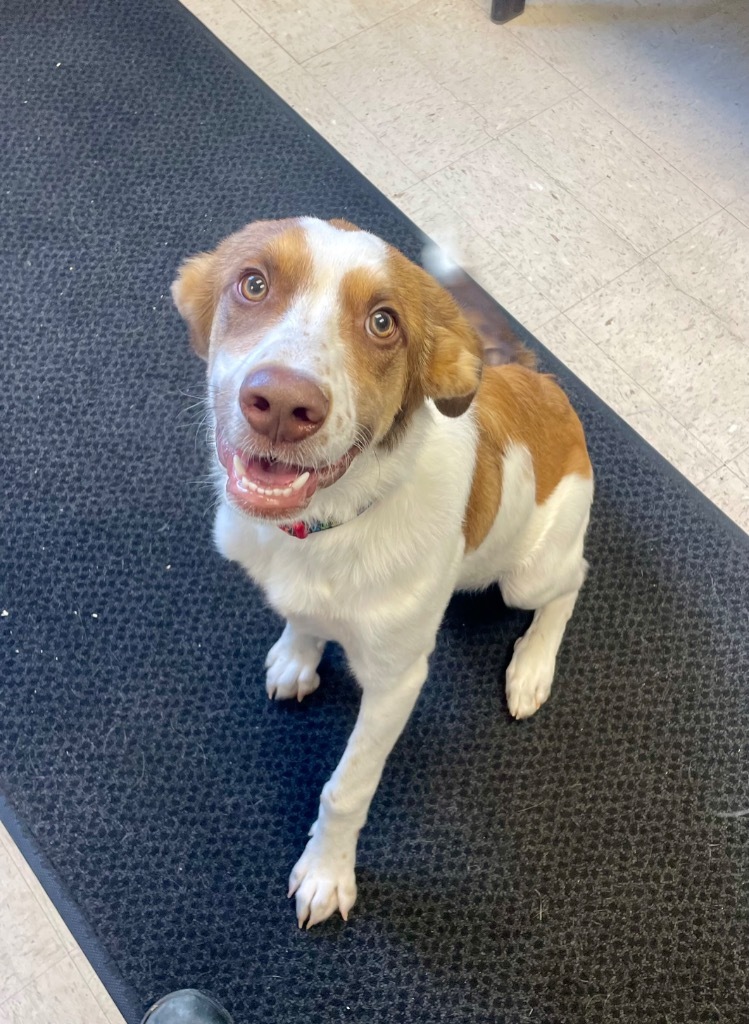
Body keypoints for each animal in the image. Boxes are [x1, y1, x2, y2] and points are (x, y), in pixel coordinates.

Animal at [173, 220, 594, 933]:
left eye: (383, 322)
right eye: (253, 284)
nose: (281, 404)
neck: (330, 525)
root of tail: (540, 383)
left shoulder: (398, 682)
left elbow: (346, 788)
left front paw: (326, 875)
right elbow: (303, 622)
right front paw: (297, 655)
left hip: (530, 571)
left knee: (571, 582)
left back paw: (533, 666)